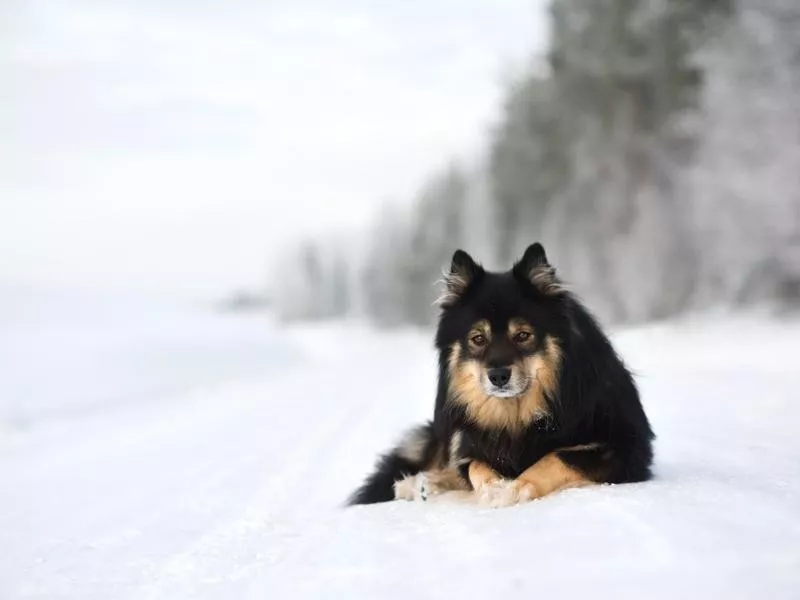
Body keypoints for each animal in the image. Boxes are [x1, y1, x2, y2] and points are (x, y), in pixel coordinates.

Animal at [346, 243, 652, 506]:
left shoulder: (625, 446)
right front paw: (494, 487)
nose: (498, 376)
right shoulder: (468, 444)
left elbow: (557, 457)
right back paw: (418, 484)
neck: (519, 416)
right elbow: (474, 466)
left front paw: (515, 488)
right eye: (478, 339)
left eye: (523, 335)